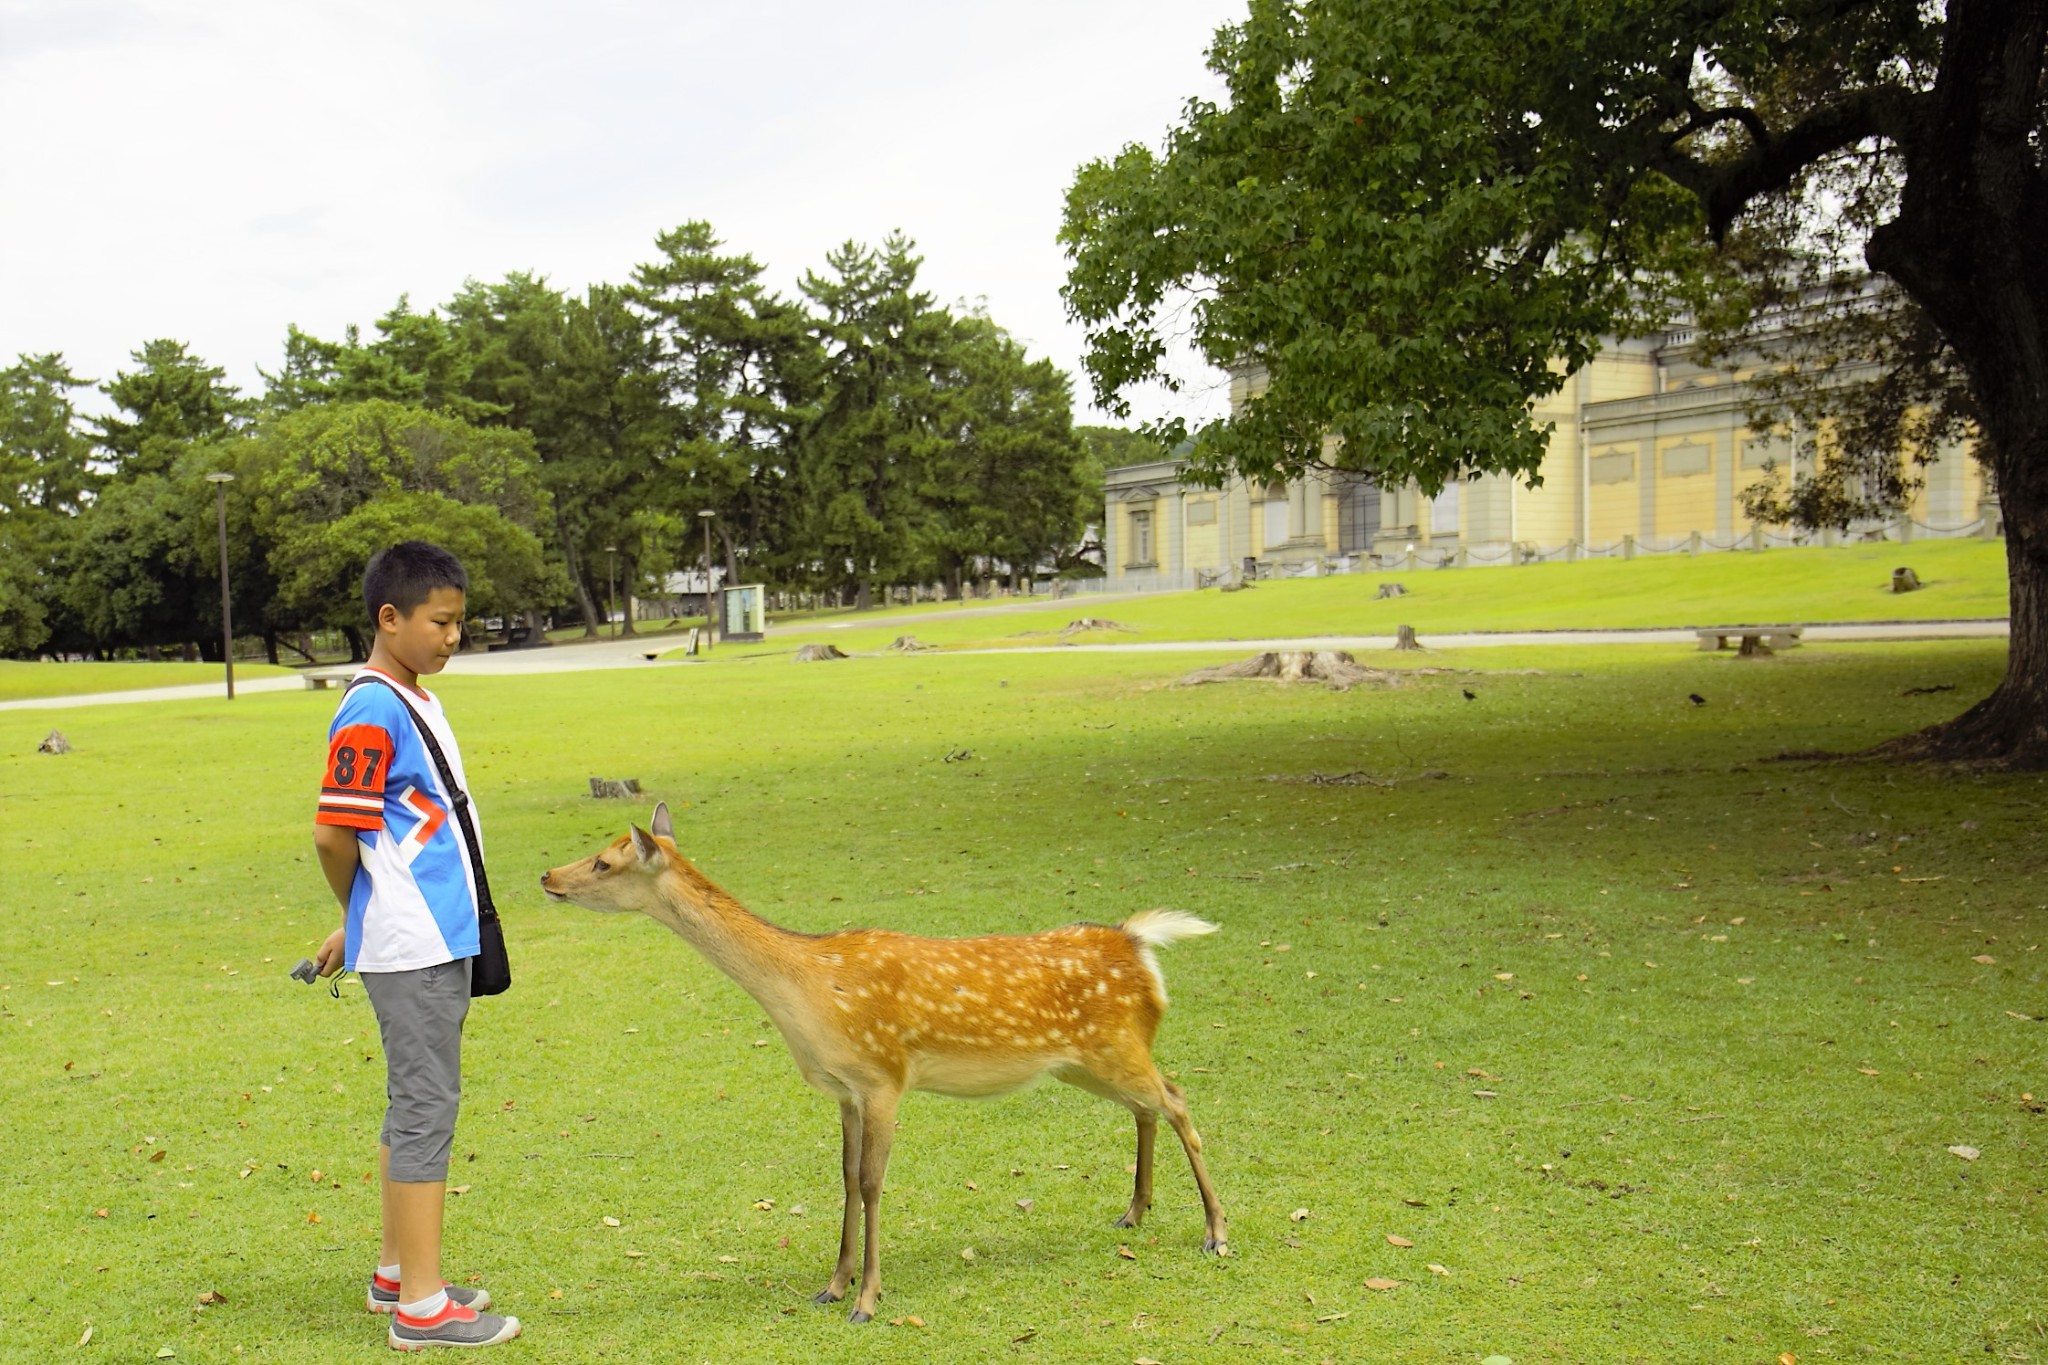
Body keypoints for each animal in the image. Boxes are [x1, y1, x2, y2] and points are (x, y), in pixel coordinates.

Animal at [536, 802, 1220, 1326]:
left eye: (604, 861)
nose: (546, 875)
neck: (809, 997)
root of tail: (1140, 945)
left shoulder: (885, 1077)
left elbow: (871, 1182)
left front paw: (866, 1300)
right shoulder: (843, 1090)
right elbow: (843, 1177)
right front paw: (831, 1286)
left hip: (1115, 1048)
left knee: (1178, 1099)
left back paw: (1215, 1231)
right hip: (1087, 1063)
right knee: (1149, 1107)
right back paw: (1134, 1211)